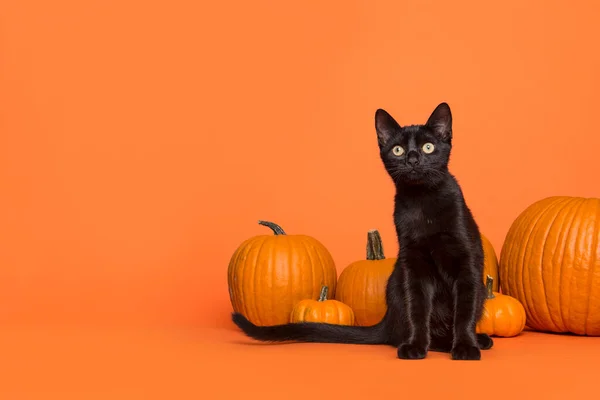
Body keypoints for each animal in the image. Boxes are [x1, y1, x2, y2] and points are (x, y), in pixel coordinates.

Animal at [230, 102, 492, 360]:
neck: (423, 202)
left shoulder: (466, 262)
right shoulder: (413, 265)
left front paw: (465, 346)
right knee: (405, 328)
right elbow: (418, 309)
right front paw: (416, 345)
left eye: (428, 147)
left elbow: (465, 310)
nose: (413, 159)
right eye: (398, 150)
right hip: (400, 280)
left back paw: (476, 340)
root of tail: (386, 319)